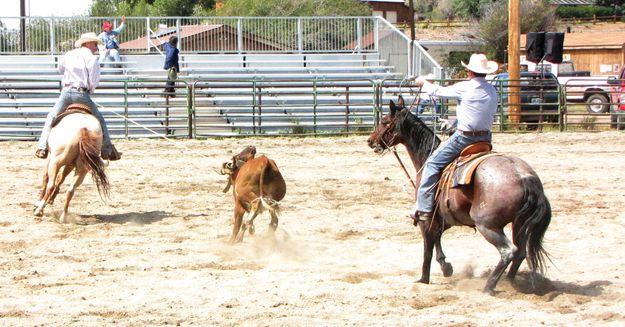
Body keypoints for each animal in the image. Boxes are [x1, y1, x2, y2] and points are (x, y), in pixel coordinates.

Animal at [366, 97, 552, 294]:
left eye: (385, 121)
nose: (370, 140)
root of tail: (524, 176)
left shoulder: (427, 216)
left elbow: (428, 248)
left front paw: (424, 279)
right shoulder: (444, 216)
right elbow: (437, 238)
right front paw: (446, 266)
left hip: (487, 225)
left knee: (509, 251)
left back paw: (489, 286)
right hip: (519, 224)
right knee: (521, 252)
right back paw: (509, 282)